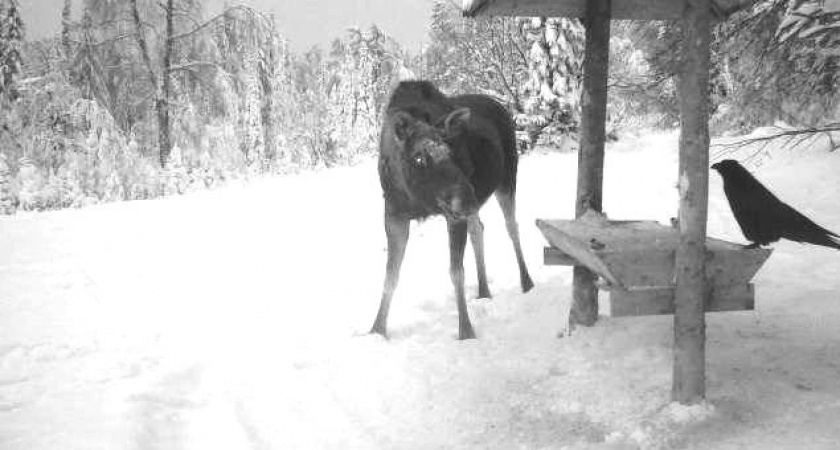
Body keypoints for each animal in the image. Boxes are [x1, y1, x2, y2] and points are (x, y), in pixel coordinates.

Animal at [370, 81, 532, 342]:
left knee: (512, 227)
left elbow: (456, 272)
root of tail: (501, 107)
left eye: (451, 151)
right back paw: (484, 290)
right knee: (479, 229)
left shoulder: (453, 216)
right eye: (418, 158)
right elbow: (390, 275)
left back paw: (527, 283)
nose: (468, 198)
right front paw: (377, 330)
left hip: (507, 179)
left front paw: (466, 331)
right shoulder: (394, 214)